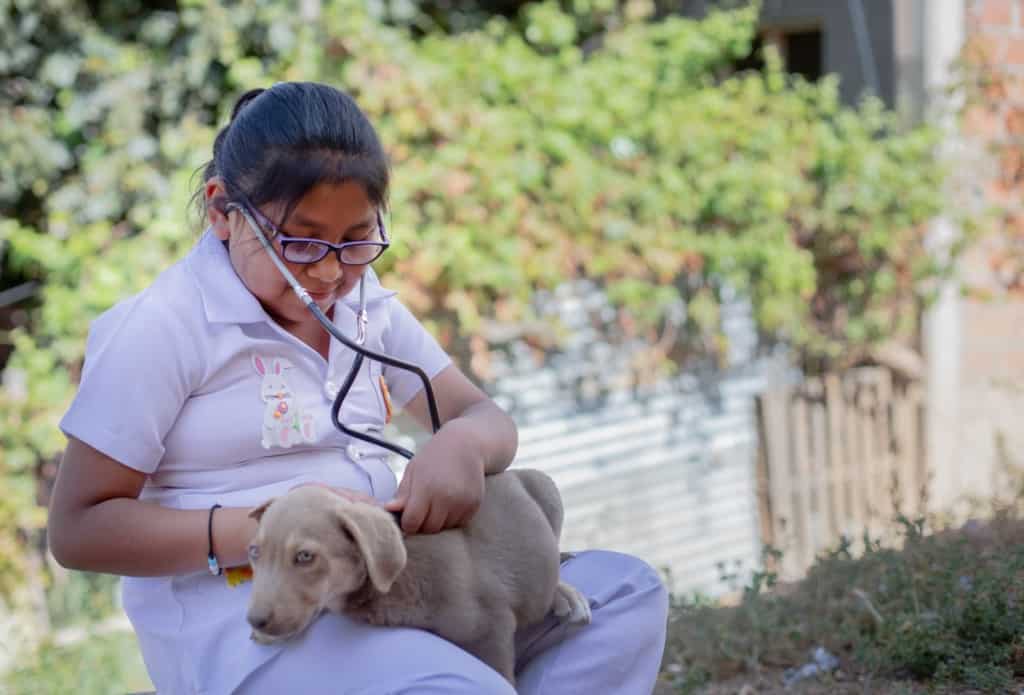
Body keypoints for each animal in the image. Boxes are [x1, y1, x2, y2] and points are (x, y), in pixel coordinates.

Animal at [244, 466, 593, 683]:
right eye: (254, 553)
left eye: (305, 557)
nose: (255, 620)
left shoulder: (490, 629)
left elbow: (501, 677)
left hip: (543, 486)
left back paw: (563, 592)